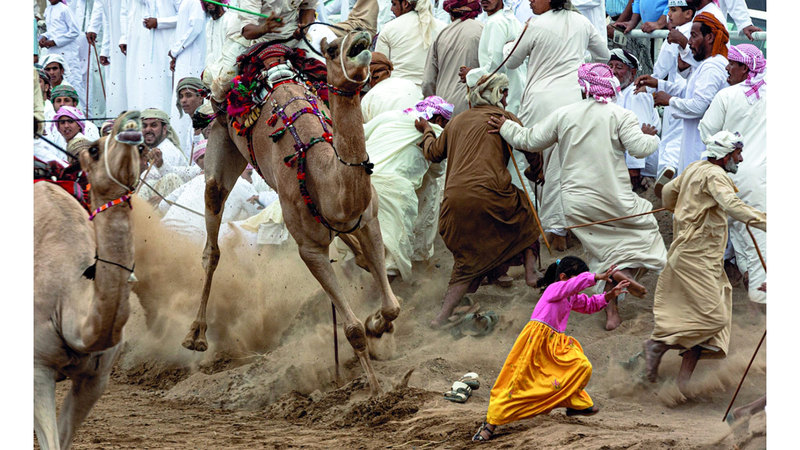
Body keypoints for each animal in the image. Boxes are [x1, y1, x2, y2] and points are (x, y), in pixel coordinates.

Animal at [183, 31, 400, 396]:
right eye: (332, 49)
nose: (361, 38)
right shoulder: (309, 249)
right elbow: (352, 329)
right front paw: (376, 391)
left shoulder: (368, 219)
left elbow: (391, 305)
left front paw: (377, 324)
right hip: (220, 138)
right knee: (211, 239)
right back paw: (194, 335)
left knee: (355, 249)